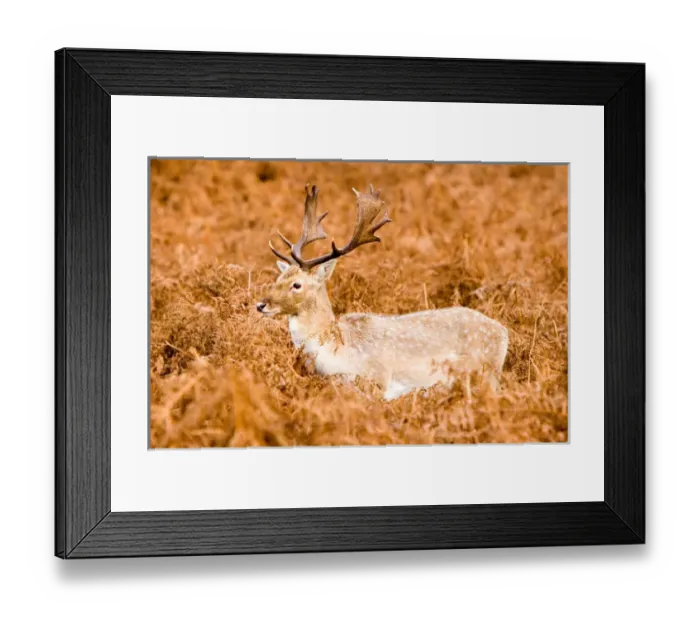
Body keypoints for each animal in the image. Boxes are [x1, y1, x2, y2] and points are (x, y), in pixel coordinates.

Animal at [256, 183, 509, 401]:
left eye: (297, 284)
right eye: (278, 278)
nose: (261, 304)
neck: (336, 351)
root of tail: (503, 332)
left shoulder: (379, 377)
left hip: (484, 373)